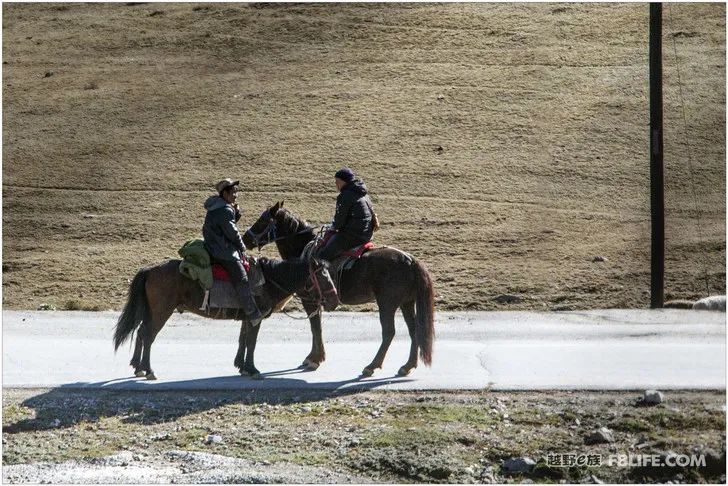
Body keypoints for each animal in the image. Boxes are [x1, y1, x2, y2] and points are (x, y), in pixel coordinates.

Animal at [113, 254, 338, 380]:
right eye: (322, 276)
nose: (334, 301)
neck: (268, 280)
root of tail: (150, 270)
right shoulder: (255, 317)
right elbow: (251, 343)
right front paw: (252, 369)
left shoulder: (247, 317)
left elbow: (243, 340)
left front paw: (241, 366)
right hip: (162, 311)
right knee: (148, 335)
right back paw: (149, 370)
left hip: (153, 311)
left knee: (141, 332)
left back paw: (138, 367)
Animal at [245, 201, 436, 376]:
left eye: (263, 220)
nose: (246, 239)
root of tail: (410, 260)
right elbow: (316, 327)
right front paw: (315, 357)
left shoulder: (309, 300)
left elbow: (315, 327)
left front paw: (314, 360)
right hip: (406, 303)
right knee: (414, 330)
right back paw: (407, 366)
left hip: (387, 304)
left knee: (389, 332)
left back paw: (371, 366)